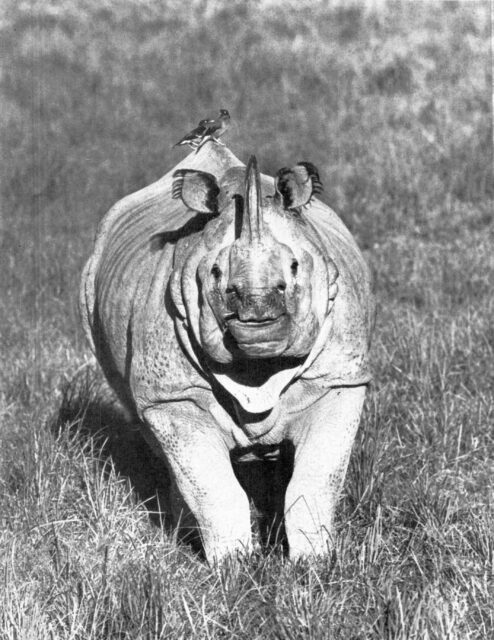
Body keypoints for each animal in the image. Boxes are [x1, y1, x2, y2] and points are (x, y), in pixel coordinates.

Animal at [80, 142, 374, 563]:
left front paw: (313, 561)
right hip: (91, 285)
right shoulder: (173, 395)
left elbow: (316, 477)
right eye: (217, 274)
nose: (257, 311)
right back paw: (185, 531)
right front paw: (233, 565)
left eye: (295, 267)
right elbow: (210, 483)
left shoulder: (338, 379)